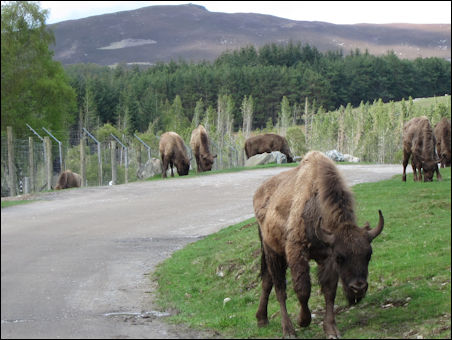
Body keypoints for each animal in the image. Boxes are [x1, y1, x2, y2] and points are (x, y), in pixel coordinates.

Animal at [252, 152, 384, 340]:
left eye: (369, 255)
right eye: (340, 257)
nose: (358, 288)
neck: (316, 206)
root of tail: (259, 194)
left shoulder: (326, 257)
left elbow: (329, 291)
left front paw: (331, 330)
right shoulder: (296, 251)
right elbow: (303, 289)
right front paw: (303, 321)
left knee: (267, 281)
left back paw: (262, 319)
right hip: (272, 251)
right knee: (279, 288)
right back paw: (288, 330)